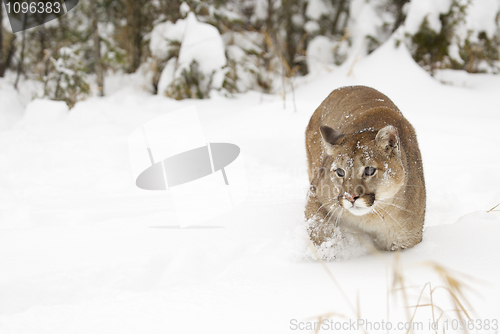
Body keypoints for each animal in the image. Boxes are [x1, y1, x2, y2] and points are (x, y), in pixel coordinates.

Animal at [304, 85, 426, 252]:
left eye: (369, 170)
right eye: (340, 172)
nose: (350, 197)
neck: (369, 217)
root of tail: (345, 87)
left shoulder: (405, 242)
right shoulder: (316, 194)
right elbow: (319, 230)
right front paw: (329, 251)